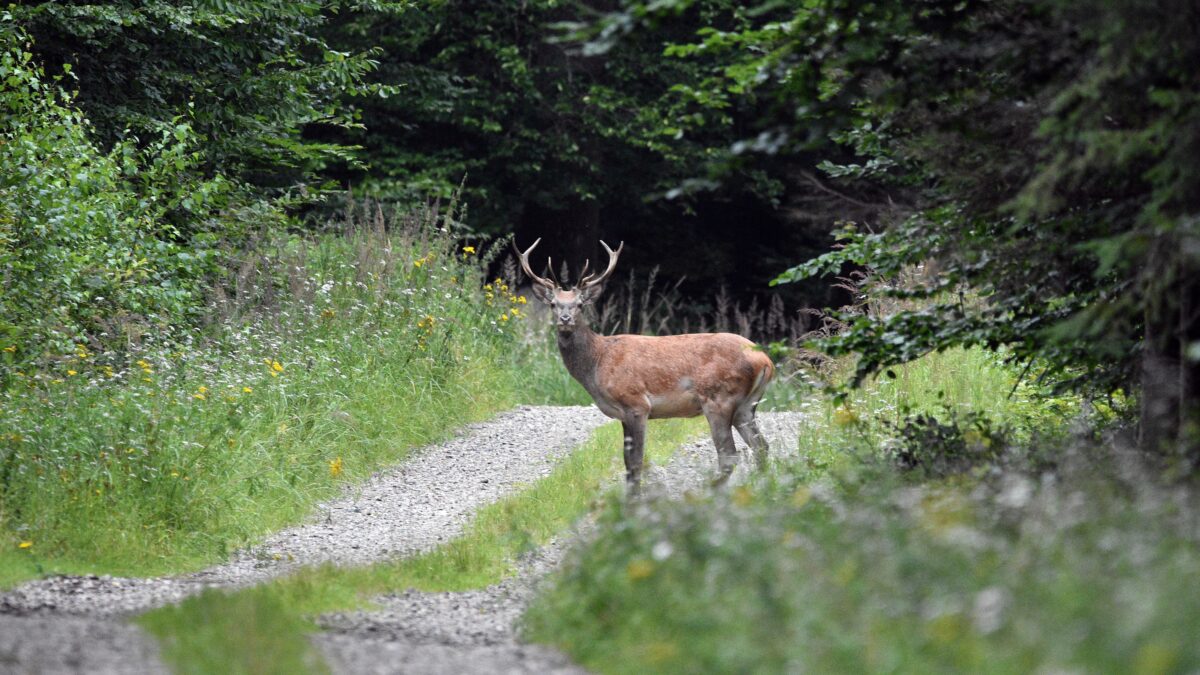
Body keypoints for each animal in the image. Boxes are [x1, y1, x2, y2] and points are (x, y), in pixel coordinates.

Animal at [516, 238, 775, 491]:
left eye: (580, 304)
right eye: (553, 304)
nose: (565, 319)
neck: (597, 363)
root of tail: (765, 361)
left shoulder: (636, 403)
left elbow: (636, 461)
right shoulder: (622, 414)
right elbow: (627, 461)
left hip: (719, 398)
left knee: (729, 454)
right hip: (746, 405)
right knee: (761, 445)